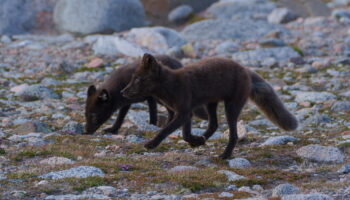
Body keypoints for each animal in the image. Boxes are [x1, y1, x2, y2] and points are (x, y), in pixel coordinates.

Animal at [121, 53, 296, 159]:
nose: (123, 92)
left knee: (233, 135)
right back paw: (202, 140)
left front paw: (151, 144)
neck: (171, 85)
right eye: (132, 78)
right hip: (211, 104)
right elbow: (185, 135)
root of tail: (245, 69)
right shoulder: (187, 113)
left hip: (231, 107)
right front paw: (196, 141)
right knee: (214, 124)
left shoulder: (184, 112)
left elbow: (165, 130)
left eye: (138, 79)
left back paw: (224, 155)